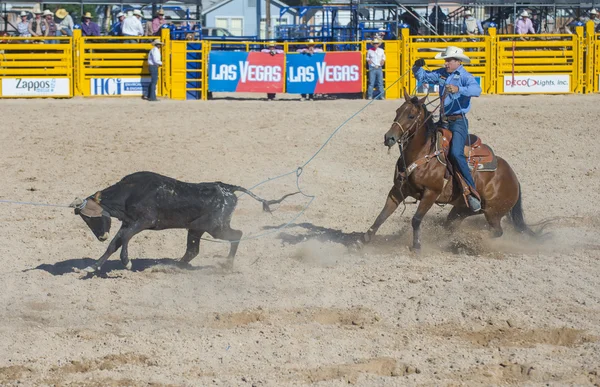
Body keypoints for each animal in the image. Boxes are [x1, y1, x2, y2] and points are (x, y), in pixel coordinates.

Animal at [360, 90, 536, 253]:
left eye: (411, 115)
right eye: (397, 111)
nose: (388, 137)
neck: (423, 154)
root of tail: (514, 178)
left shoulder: (431, 193)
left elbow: (416, 219)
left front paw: (417, 246)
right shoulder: (397, 190)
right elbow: (382, 215)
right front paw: (364, 240)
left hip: (493, 213)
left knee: (497, 231)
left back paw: (469, 241)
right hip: (462, 210)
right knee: (451, 225)